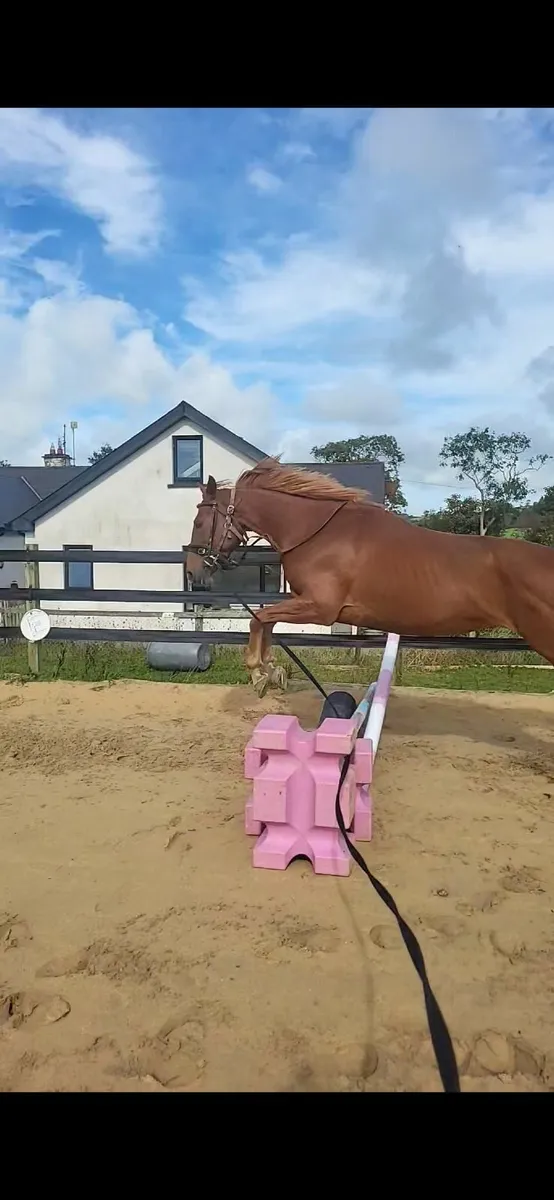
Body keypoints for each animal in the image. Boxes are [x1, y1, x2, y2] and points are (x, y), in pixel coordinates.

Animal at [186, 458, 554, 696]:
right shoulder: (305, 602)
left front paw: (258, 672)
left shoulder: (321, 608)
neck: (317, 532)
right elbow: (267, 621)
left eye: (200, 522)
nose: (193, 571)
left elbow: (259, 618)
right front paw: (272, 671)